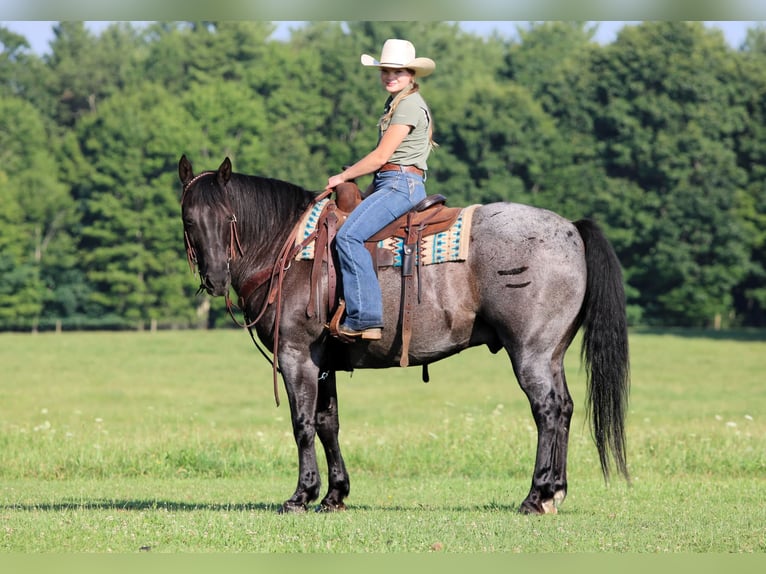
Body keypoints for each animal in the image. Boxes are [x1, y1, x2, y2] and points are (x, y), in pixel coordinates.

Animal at [178, 155, 630, 515]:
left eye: (228, 218)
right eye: (189, 219)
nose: (215, 278)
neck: (290, 250)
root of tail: (571, 229)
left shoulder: (296, 355)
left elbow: (302, 423)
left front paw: (302, 495)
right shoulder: (325, 363)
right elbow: (328, 423)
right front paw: (335, 495)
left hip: (530, 353)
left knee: (547, 410)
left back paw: (536, 495)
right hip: (551, 353)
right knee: (565, 408)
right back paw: (555, 492)